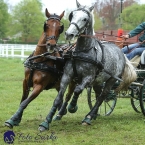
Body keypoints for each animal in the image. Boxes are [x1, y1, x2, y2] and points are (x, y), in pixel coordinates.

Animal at [38, 0, 137, 131]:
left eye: (85, 19)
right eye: (72, 15)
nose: (69, 34)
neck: (83, 51)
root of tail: (120, 51)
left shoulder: (88, 78)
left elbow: (77, 90)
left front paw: (72, 107)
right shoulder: (67, 76)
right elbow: (59, 97)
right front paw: (46, 121)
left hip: (110, 80)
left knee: (102, 96)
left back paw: (88, 118)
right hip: (99, 80)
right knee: (99, 94)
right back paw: (93, 115)